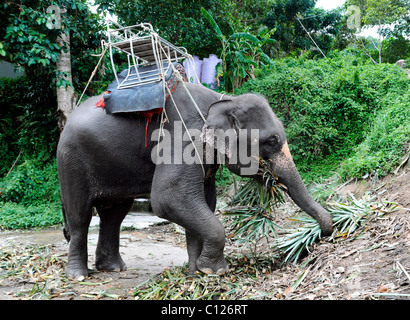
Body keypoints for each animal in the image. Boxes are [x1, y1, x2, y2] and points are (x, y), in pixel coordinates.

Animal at [56, 82, 334, 278]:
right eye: (272, 141)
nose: (323, 236)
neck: (221, 99)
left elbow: (204, 202)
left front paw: (196, 273)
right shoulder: (183, 137)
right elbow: (169, 197)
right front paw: (215, 271)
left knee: (114, 214)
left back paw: (113, 269)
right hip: (71, 161)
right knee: (81, 216)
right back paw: (78, 276)